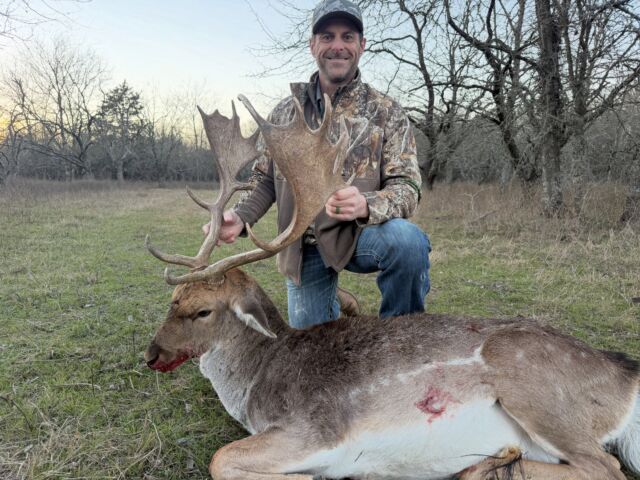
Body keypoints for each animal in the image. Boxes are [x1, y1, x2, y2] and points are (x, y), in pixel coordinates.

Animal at [143, 94, 640, 480]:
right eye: (172, 300)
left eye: (203, 311)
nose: (151, 354)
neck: (255, 384)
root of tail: (627, 375)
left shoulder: (315, 428)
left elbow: (221, 459)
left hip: (538, 393)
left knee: (607, 467)